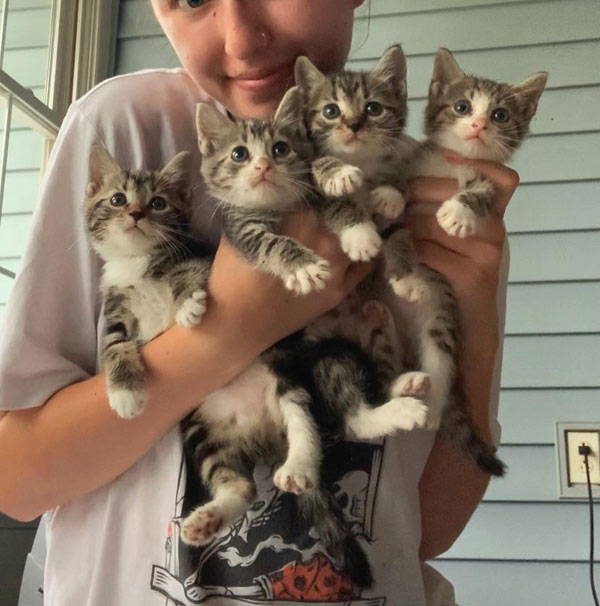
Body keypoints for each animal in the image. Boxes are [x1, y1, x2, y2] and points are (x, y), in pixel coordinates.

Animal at [85, 147, 212, 420]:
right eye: (117, 199)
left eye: (158, 203)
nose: (136, 213)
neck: (136, 259)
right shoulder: (115, 302)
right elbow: (113, 342)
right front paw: (124, 392)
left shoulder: (200, 252)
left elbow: (185, 270)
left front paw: (188, 303)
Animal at [294, 47, 506, 478]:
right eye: (330, 111)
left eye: (373, 108)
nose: (354, 125)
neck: (363, 163)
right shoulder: (309, 187)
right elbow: (338, 202)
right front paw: (357, 227)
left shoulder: (396, 204)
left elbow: (399, 233)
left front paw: (406, 277)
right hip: (321, 349)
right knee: (354, 412)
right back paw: (399, 408)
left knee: (378, 376)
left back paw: (401, 379)